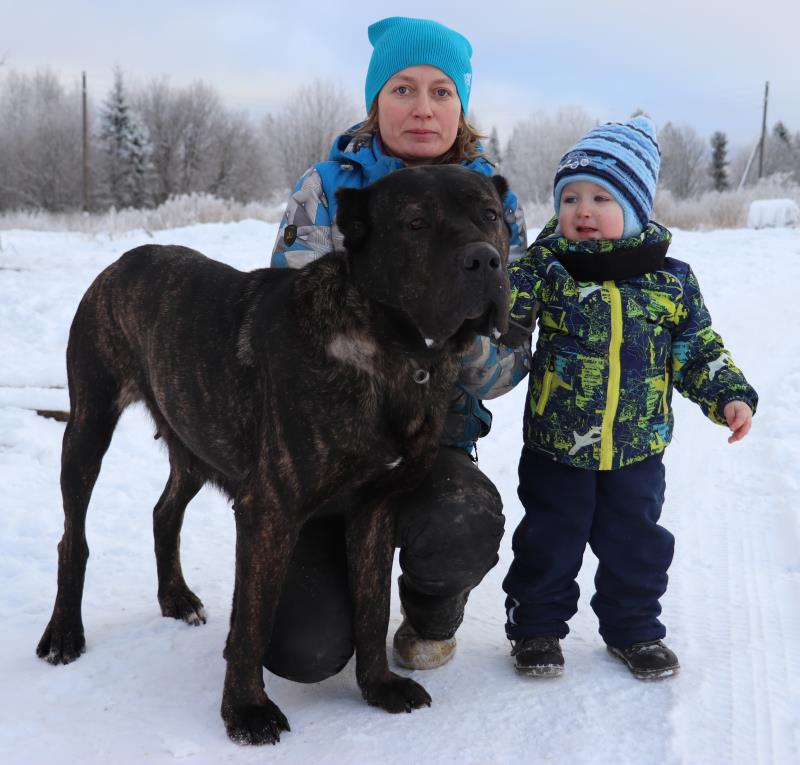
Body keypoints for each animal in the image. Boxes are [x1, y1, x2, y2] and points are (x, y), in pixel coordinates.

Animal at [36, 164, 506, 744]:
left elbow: (372, 607)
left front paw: (378, 687)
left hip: (195, 443)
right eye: (415, 223)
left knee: (164, 511)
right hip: (88, 426)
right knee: (72, 538)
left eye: (491, 215)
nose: (484, 259)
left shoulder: (375, 508)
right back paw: (64, 632)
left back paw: (176, 598)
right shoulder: (270, 510)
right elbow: (255, 621)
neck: (393, 352)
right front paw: (245, 710)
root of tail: (123, 260)